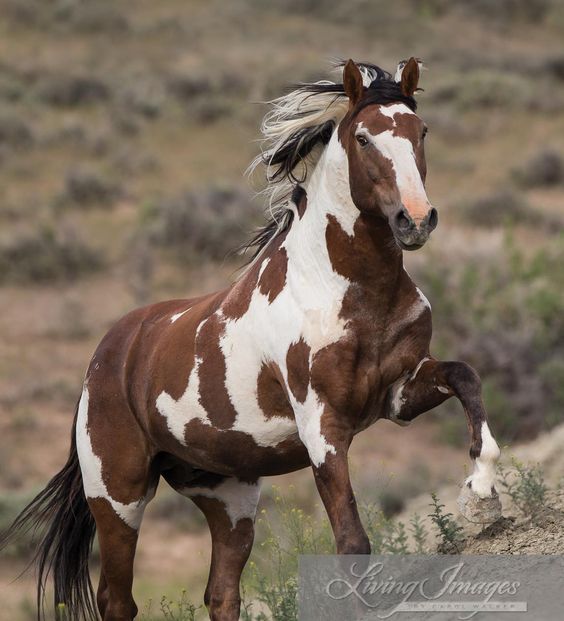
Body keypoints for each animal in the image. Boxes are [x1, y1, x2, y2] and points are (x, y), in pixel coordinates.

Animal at [1, 59, 502, 620]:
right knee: (117, 598)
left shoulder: (399, 393)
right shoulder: (323, 425)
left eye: (422, 131)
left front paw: (481, 487)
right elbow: (352, 543)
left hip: (228, 499)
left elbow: (466, 376)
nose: (414, 220)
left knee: (220, 592)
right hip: (117, 497)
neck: (347, 289)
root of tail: (104, 357)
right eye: (364, 138)